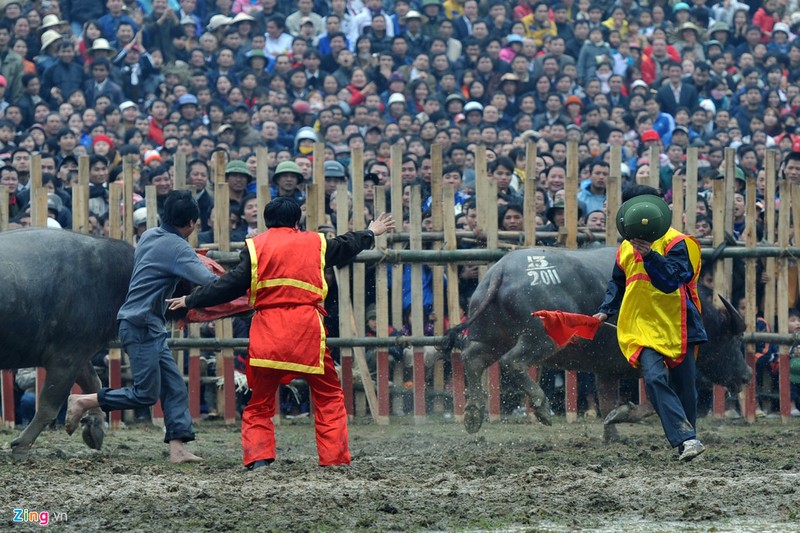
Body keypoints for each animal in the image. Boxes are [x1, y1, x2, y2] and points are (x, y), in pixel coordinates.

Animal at [0, 228, 134, 458]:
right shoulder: (67, 356)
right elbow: (48, 404)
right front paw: (22, 444)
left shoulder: (78, 352)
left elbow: (94, 383)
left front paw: (94, 427)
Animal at [444, 245, 752, 436]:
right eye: (734, 340)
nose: (747, 375)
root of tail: (501, 272)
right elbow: (654, 402)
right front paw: (622, 415)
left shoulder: (606, 368)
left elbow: (606, 401)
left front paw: (611, 433)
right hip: (541, 339)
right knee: (513, 362)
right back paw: (541, 406)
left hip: (491, 336)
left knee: (472, 359)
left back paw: (472, 414)